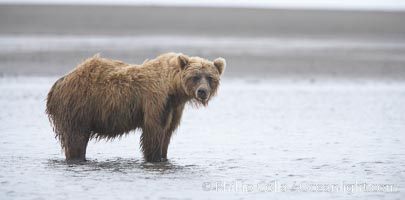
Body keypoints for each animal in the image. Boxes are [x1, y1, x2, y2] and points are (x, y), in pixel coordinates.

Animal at [45, 52, 226, 162]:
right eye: (195, 76)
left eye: (210, 77)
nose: (202, 92)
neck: (173, 89)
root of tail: (58, 83)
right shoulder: (156, 101)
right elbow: (153, 132)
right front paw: (154, 158)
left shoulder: (174, 108)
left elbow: (167, 133)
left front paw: (164, 156)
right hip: (78, 106)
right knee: (76, 139)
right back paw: (77, 158)